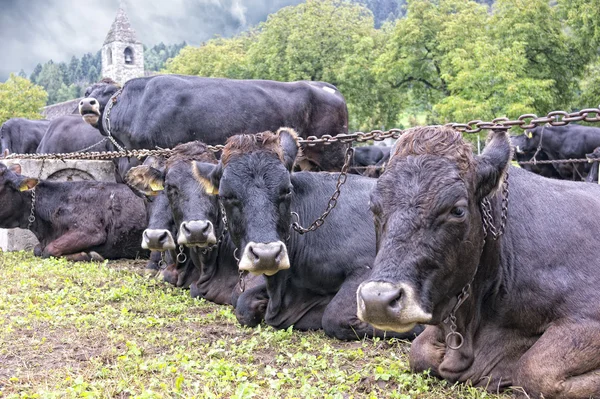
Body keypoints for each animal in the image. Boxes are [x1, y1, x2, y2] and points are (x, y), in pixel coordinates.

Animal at [80, 76, 352, 172]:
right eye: (87, 90)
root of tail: (327, 87)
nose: (87, 103)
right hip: (309, 160)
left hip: (334, 154)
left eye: (107, 93)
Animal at [193, 129, 422, 340]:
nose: (267, 255)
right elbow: (242, 304)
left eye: (287, 189)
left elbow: (335, 316)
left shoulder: (368, 268)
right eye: (226, 196)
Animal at [356, 126, 600, 398]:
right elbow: (418, 352)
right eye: (373, 207)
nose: (377, 299)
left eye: (458, 210)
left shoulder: (588, 314)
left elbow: (534, 371)